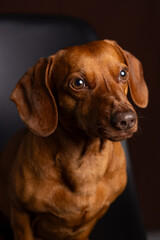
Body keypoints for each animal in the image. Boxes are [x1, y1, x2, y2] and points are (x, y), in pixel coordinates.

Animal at [0, 40, 148, 239]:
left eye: (123, 73)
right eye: (78, 83)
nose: (126, 120)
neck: (86, 161)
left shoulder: (88, 224)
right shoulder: (21, 216)